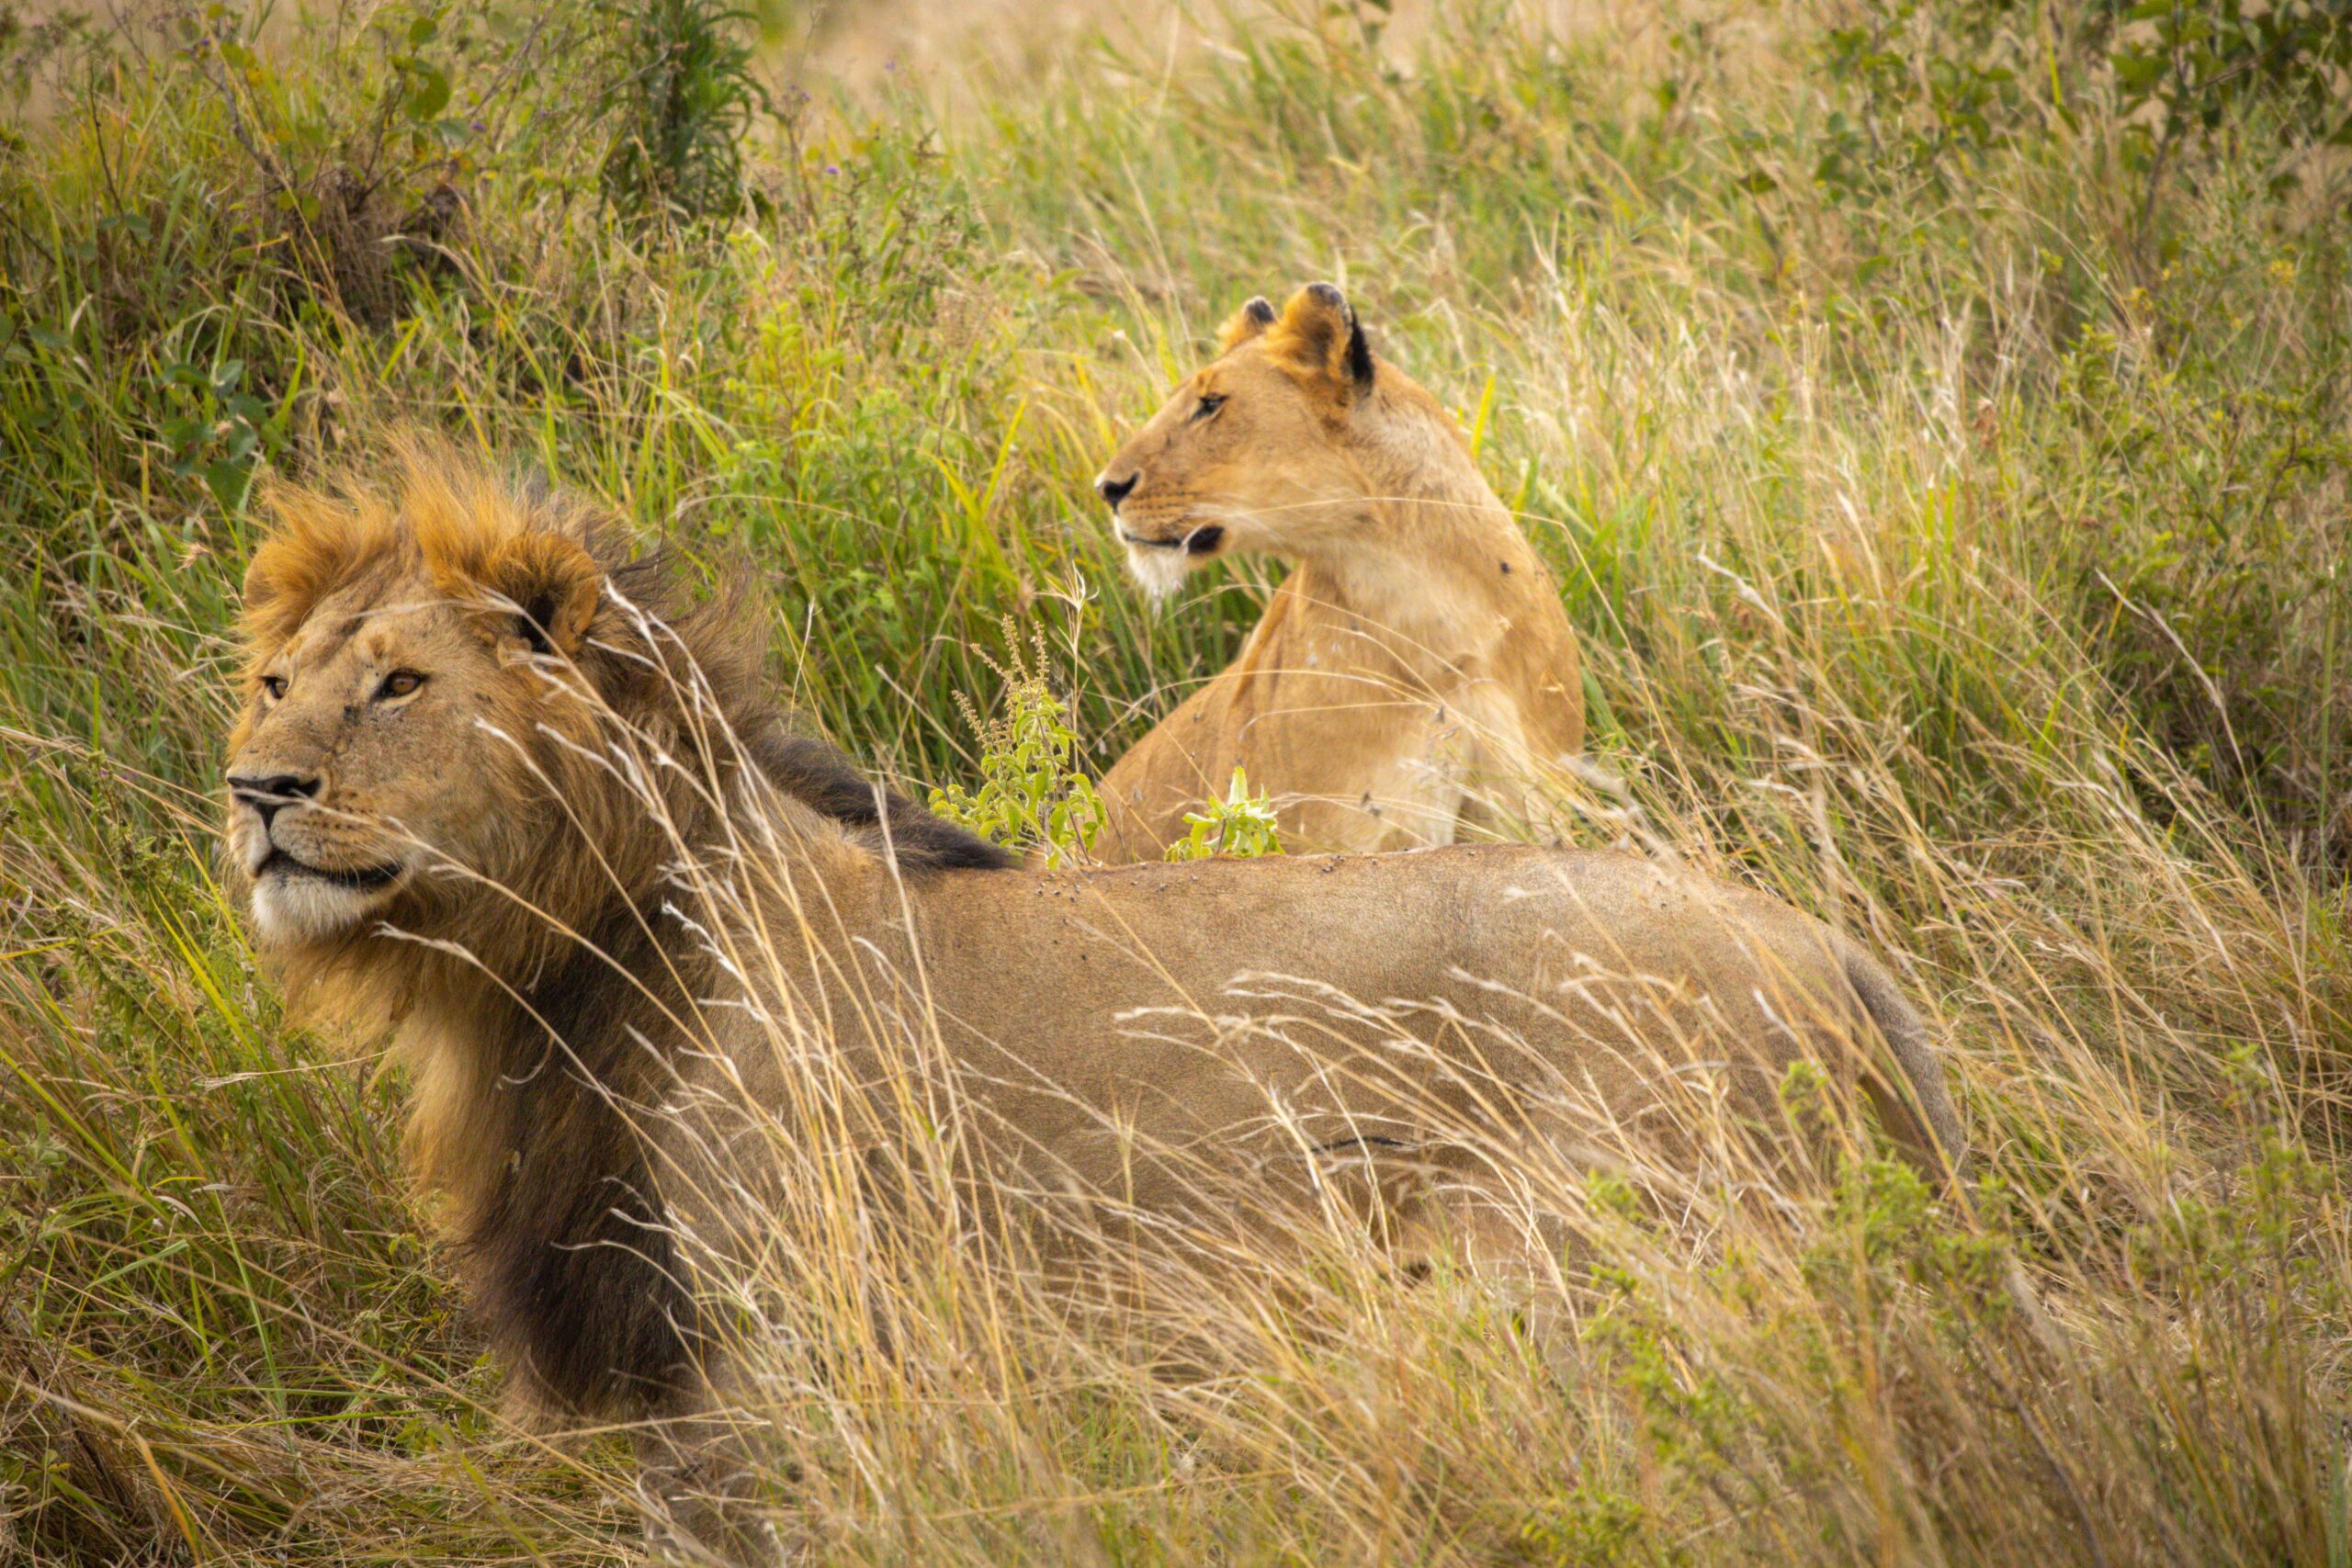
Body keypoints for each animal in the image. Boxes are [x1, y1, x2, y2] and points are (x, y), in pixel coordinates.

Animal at [229, 446, 1975, 1551]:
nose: (253, 789)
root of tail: (1830, 952)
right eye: (276, 682)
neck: (540, 985)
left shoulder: (772, 1369)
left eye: (400, 686)